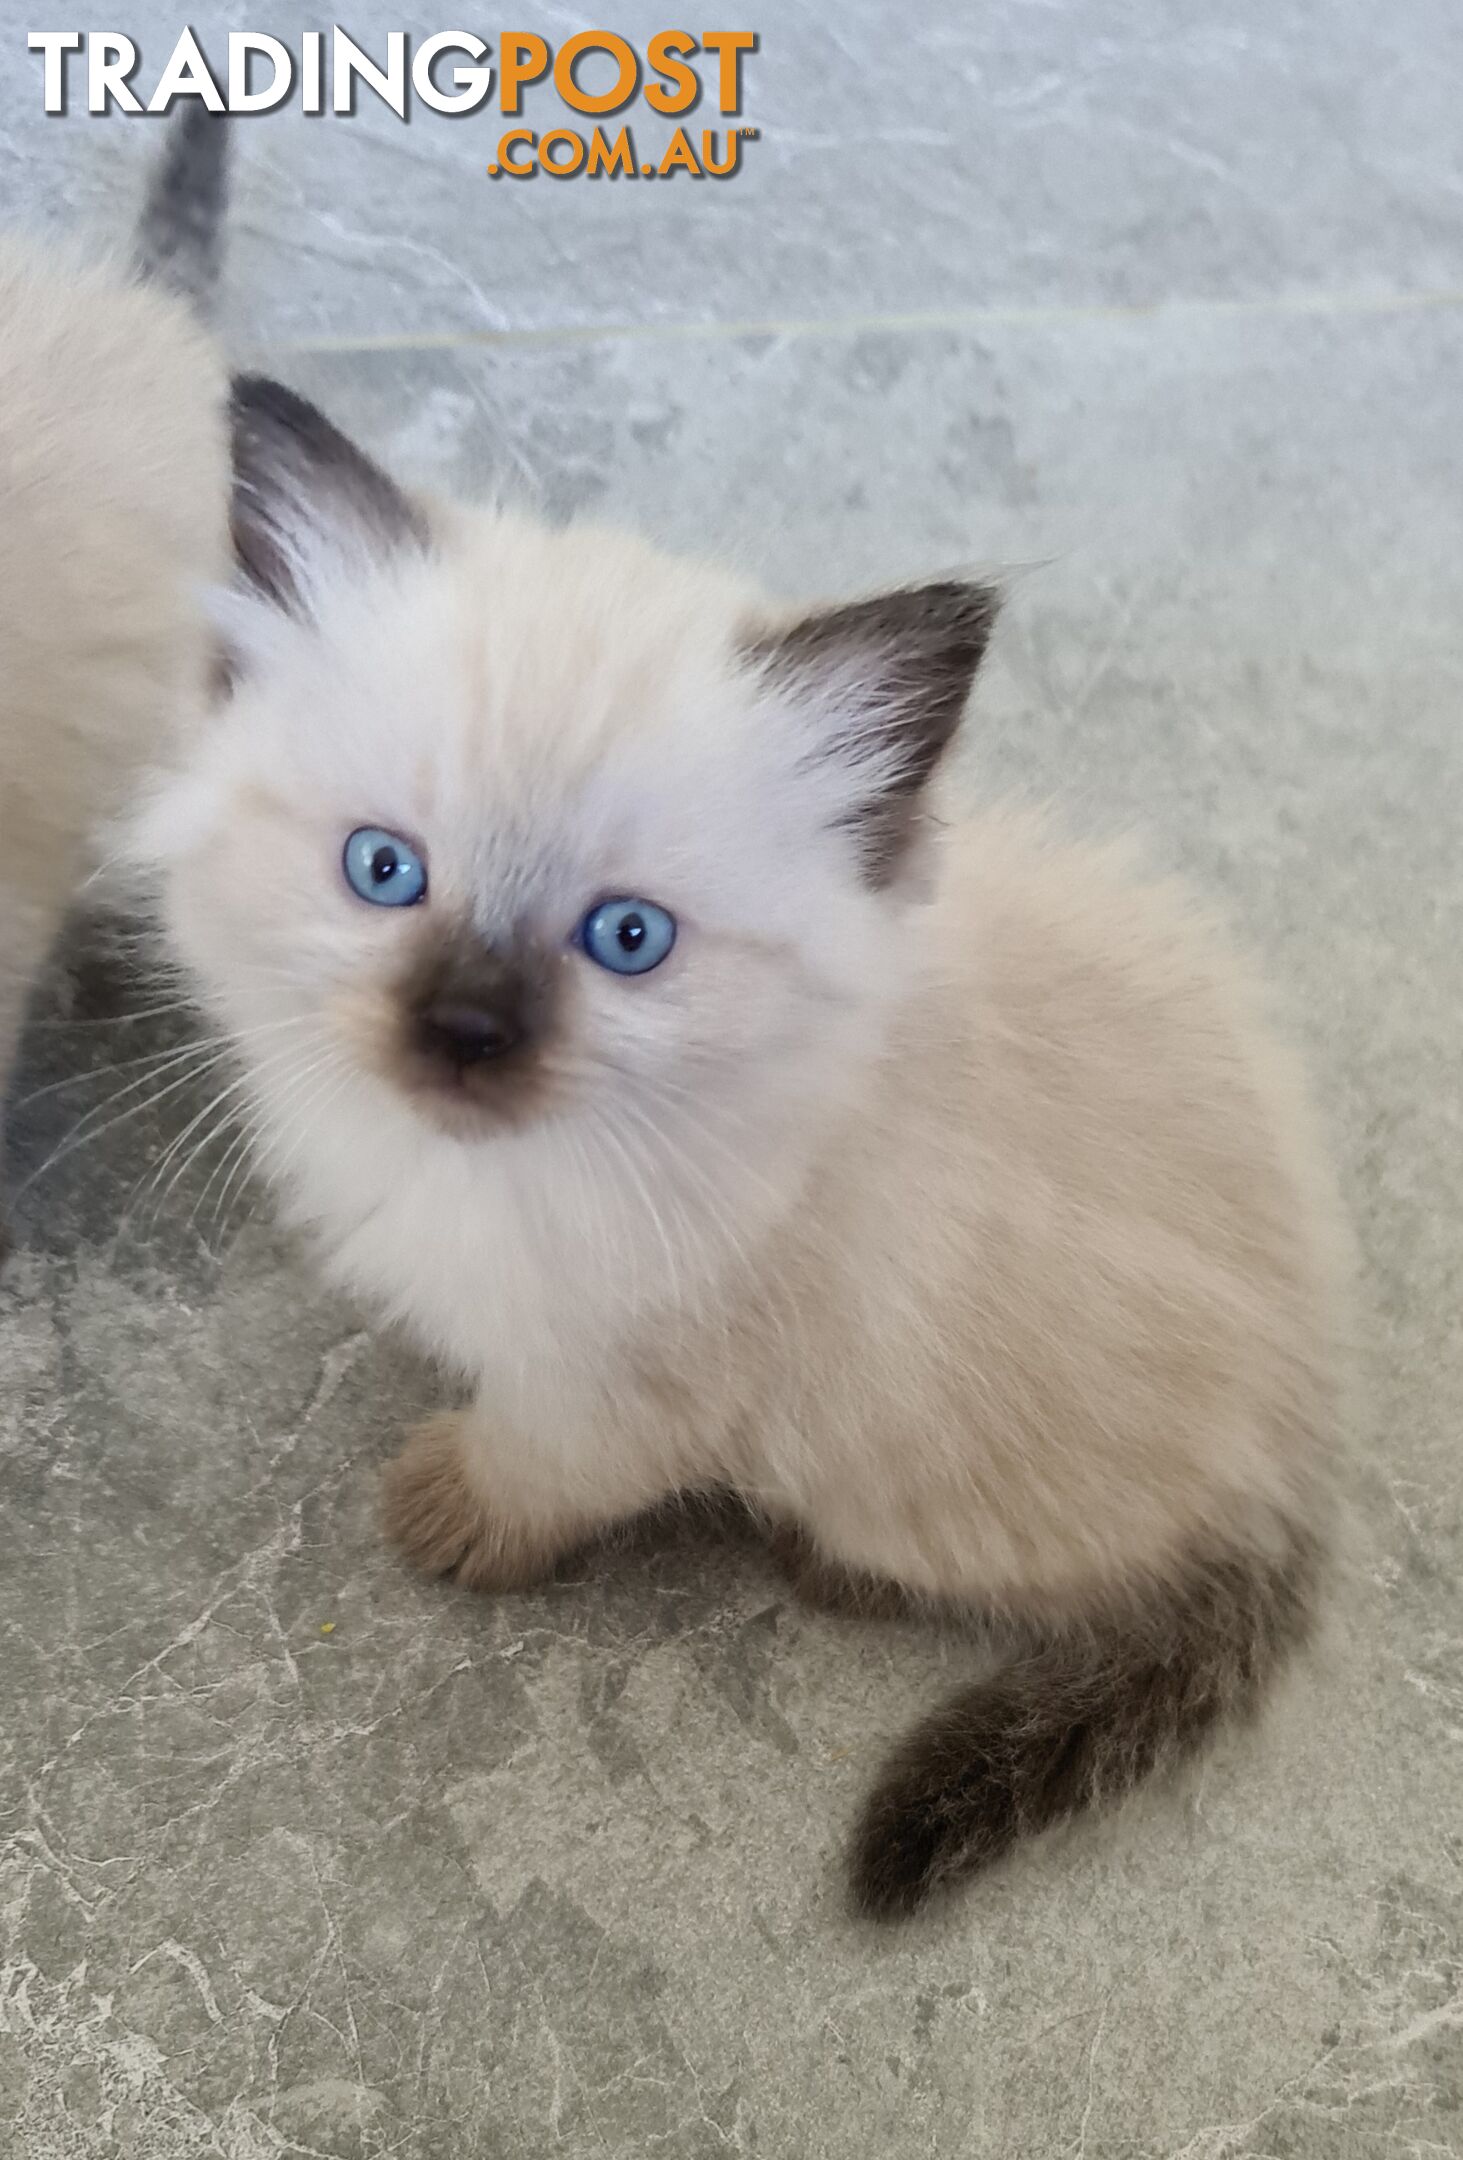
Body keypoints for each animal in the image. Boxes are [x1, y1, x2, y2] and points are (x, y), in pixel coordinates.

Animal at [131, 380, 1339, 1918]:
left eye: (626, 939)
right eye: (382, 871)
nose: (462, 1032)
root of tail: (1299, 1446)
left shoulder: (621, 1387)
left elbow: (535, 1465)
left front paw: (447, 1513)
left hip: (908, 1474)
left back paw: (824, 1567)